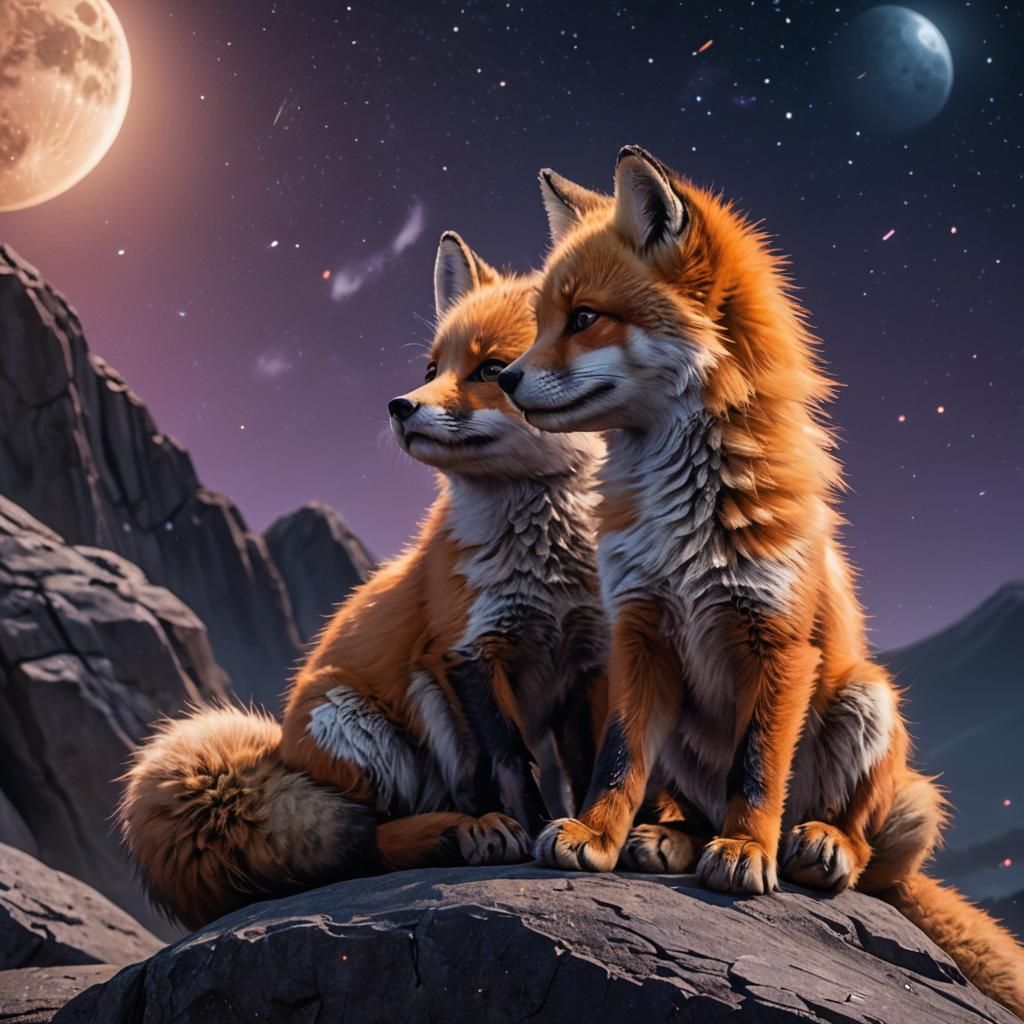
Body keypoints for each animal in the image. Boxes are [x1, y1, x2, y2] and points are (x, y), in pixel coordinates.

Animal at [119, 231, 607, 930]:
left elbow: (586, 766)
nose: (400, 406)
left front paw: (582, 834)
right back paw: (462, 830)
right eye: (431, 370)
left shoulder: (587, 659)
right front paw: (525, 830)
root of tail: (282, 748)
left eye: (492, 371)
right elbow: (513, 764)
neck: (545, 564)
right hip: (374, 721)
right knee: (371, 839)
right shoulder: (464, 653)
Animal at [496, 146, 1024, 1017]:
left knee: (867, 848)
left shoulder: (777, 641)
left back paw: (816, 844)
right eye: (542, 320)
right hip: (686, 731)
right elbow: (618, 760)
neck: (684, 507)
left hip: (865, 698)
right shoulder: (638, 631)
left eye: (585, 319)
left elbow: (757, 768)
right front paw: (598, 835)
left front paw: (746, 850)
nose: (503, 378)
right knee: (684, 798)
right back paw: (670, 836)